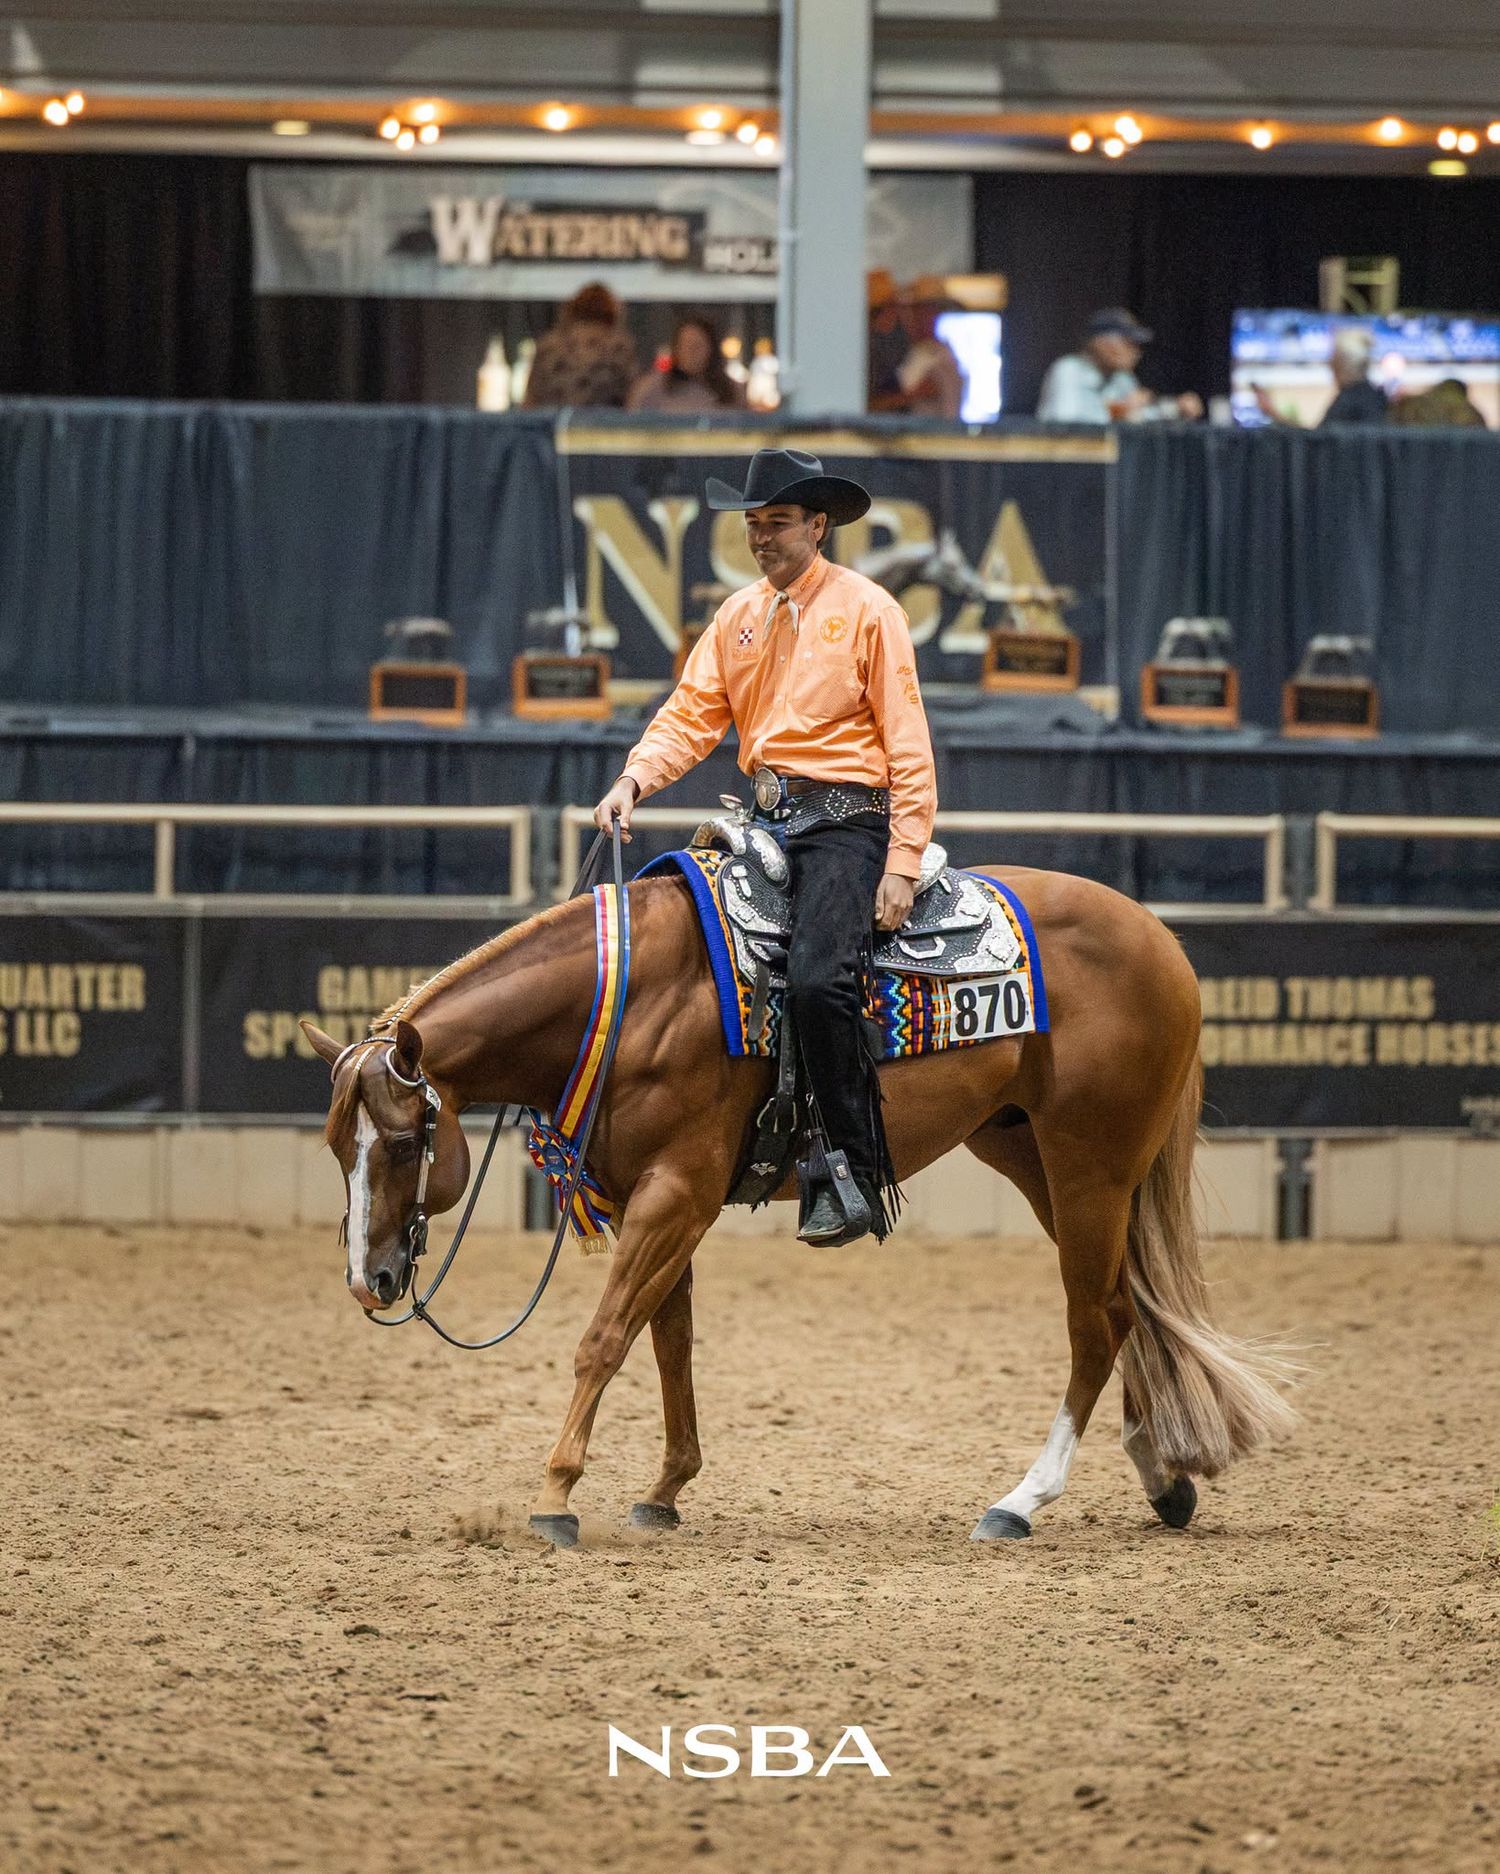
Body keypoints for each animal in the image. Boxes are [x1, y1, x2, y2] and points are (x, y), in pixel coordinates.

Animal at [303, 862, 1293, 1546]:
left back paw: (1020, 1500)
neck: (630, 1000)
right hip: (1037, 1159)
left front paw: (555, 1493)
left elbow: (605, 1339)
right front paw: (664, 1490)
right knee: (1129, 1308)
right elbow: (669, 1342)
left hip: (1091, 1166)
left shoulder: (677, 1194)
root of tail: (1162, 941)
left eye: (403, 1143)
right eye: (335, 1148)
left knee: (1095, 1324)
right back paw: (1163, 1480)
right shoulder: (656, 1204)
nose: (368, 1279)